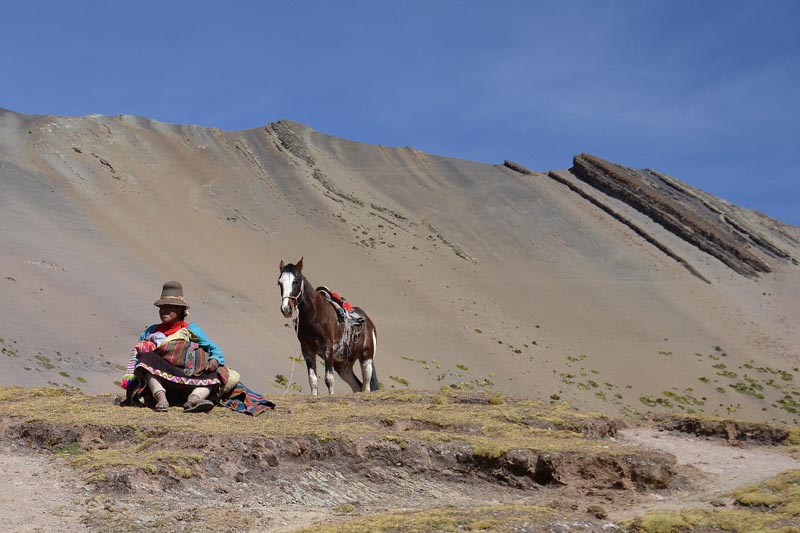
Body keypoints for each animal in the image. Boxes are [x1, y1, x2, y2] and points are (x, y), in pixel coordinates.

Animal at [280, 258, 380, 394]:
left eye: (296, 281)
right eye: (280, 283)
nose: (286, 309)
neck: (315, 315)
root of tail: (369, 323)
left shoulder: (328, 348)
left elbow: (329, 380)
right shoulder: (307, 350)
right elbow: (313, 381)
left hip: (366, 359)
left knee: (366, 387)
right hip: (343, 366)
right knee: (357, 386)